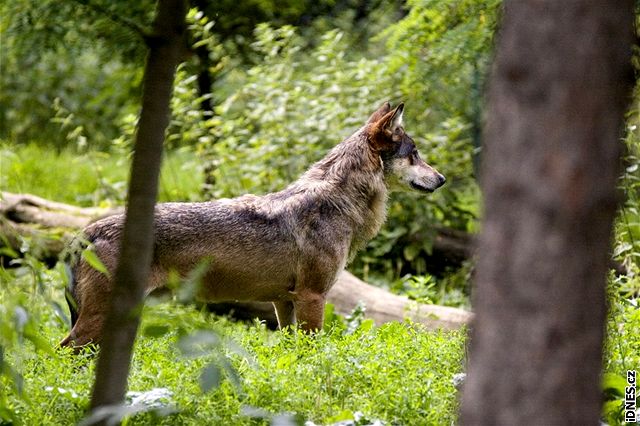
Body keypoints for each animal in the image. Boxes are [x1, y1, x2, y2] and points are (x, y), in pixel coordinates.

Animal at [60, 101, 444, 348]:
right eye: (415, 155)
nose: (441, 179)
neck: (335, 200)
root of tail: (85, 234)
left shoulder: (284, 303)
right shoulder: (313, 297)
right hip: (99, 320)